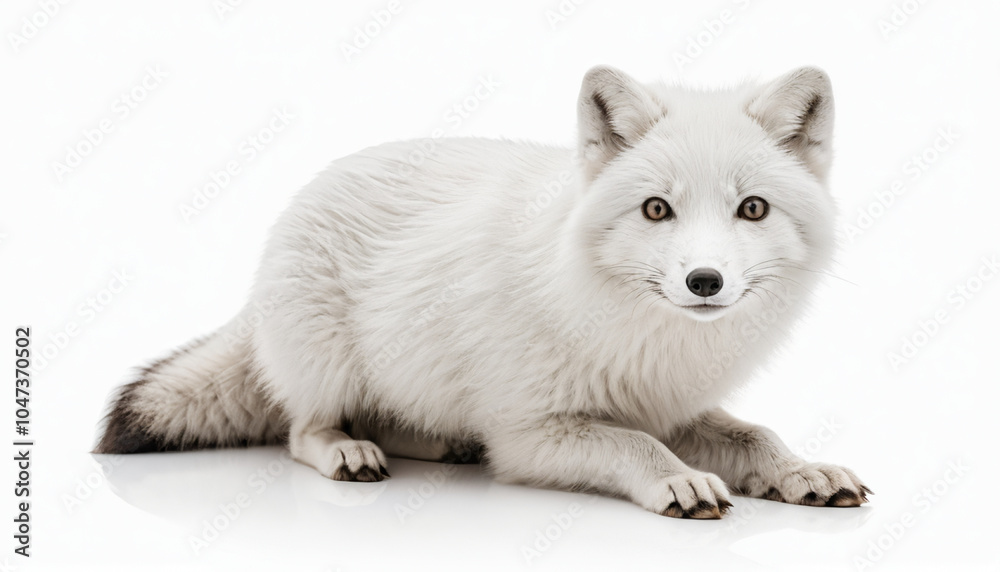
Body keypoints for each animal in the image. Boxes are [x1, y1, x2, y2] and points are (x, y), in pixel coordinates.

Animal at [95, 65, 870, 519]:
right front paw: (680, 481)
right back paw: (350, 452)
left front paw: (801, 471)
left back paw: (442, 444)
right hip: (327, 365)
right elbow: (634, 447)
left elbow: (754, 434)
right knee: (301, 431)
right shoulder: (531, 434)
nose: (704, 281)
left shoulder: (665, 403)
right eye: (657, 209)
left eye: (752, 209)